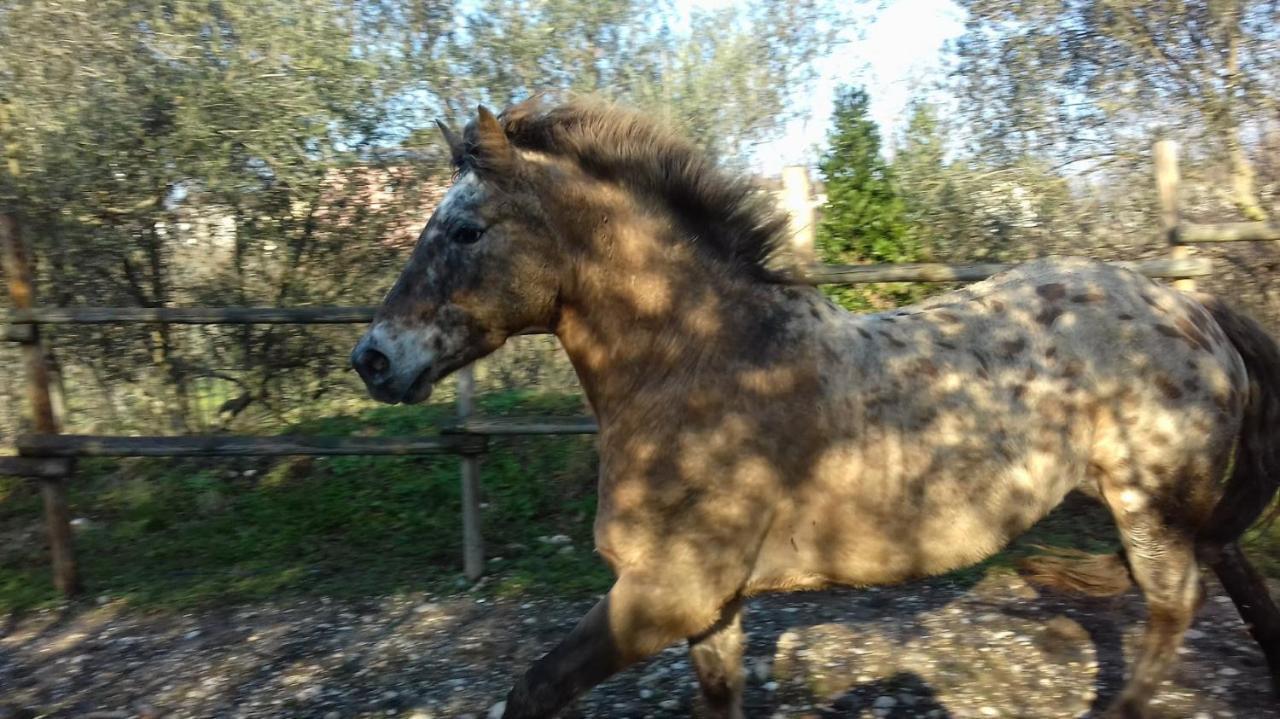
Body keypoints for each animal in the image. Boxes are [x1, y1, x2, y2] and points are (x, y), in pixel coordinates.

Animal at [350, 97, 1280, 711]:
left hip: (1148, 508)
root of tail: (1194, 305)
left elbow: (534, 686)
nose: (373, 358)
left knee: (1176, 605)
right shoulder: (712, 606)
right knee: (1234, 574)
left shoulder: (667, 591)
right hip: (1174, 508)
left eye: (465, 230)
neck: (703, 364)